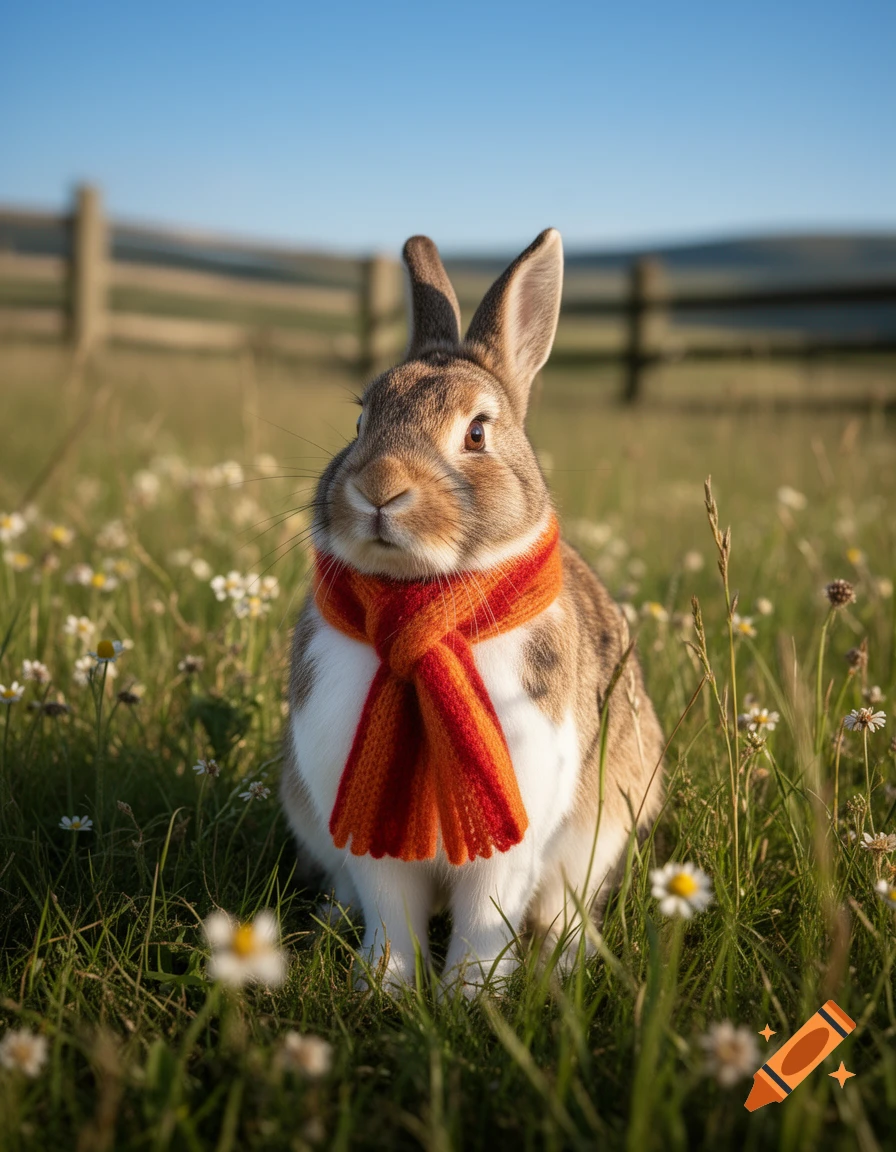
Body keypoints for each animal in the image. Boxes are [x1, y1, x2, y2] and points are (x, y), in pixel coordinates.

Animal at [280, 228, 664, 993]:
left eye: (478, 433)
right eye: (360, 419)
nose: (378, 488)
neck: (424, 602)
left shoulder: (511, 834)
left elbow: (486, 916)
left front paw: (468, 995)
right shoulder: (365, 833)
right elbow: (390, 909)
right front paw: (387, 987)